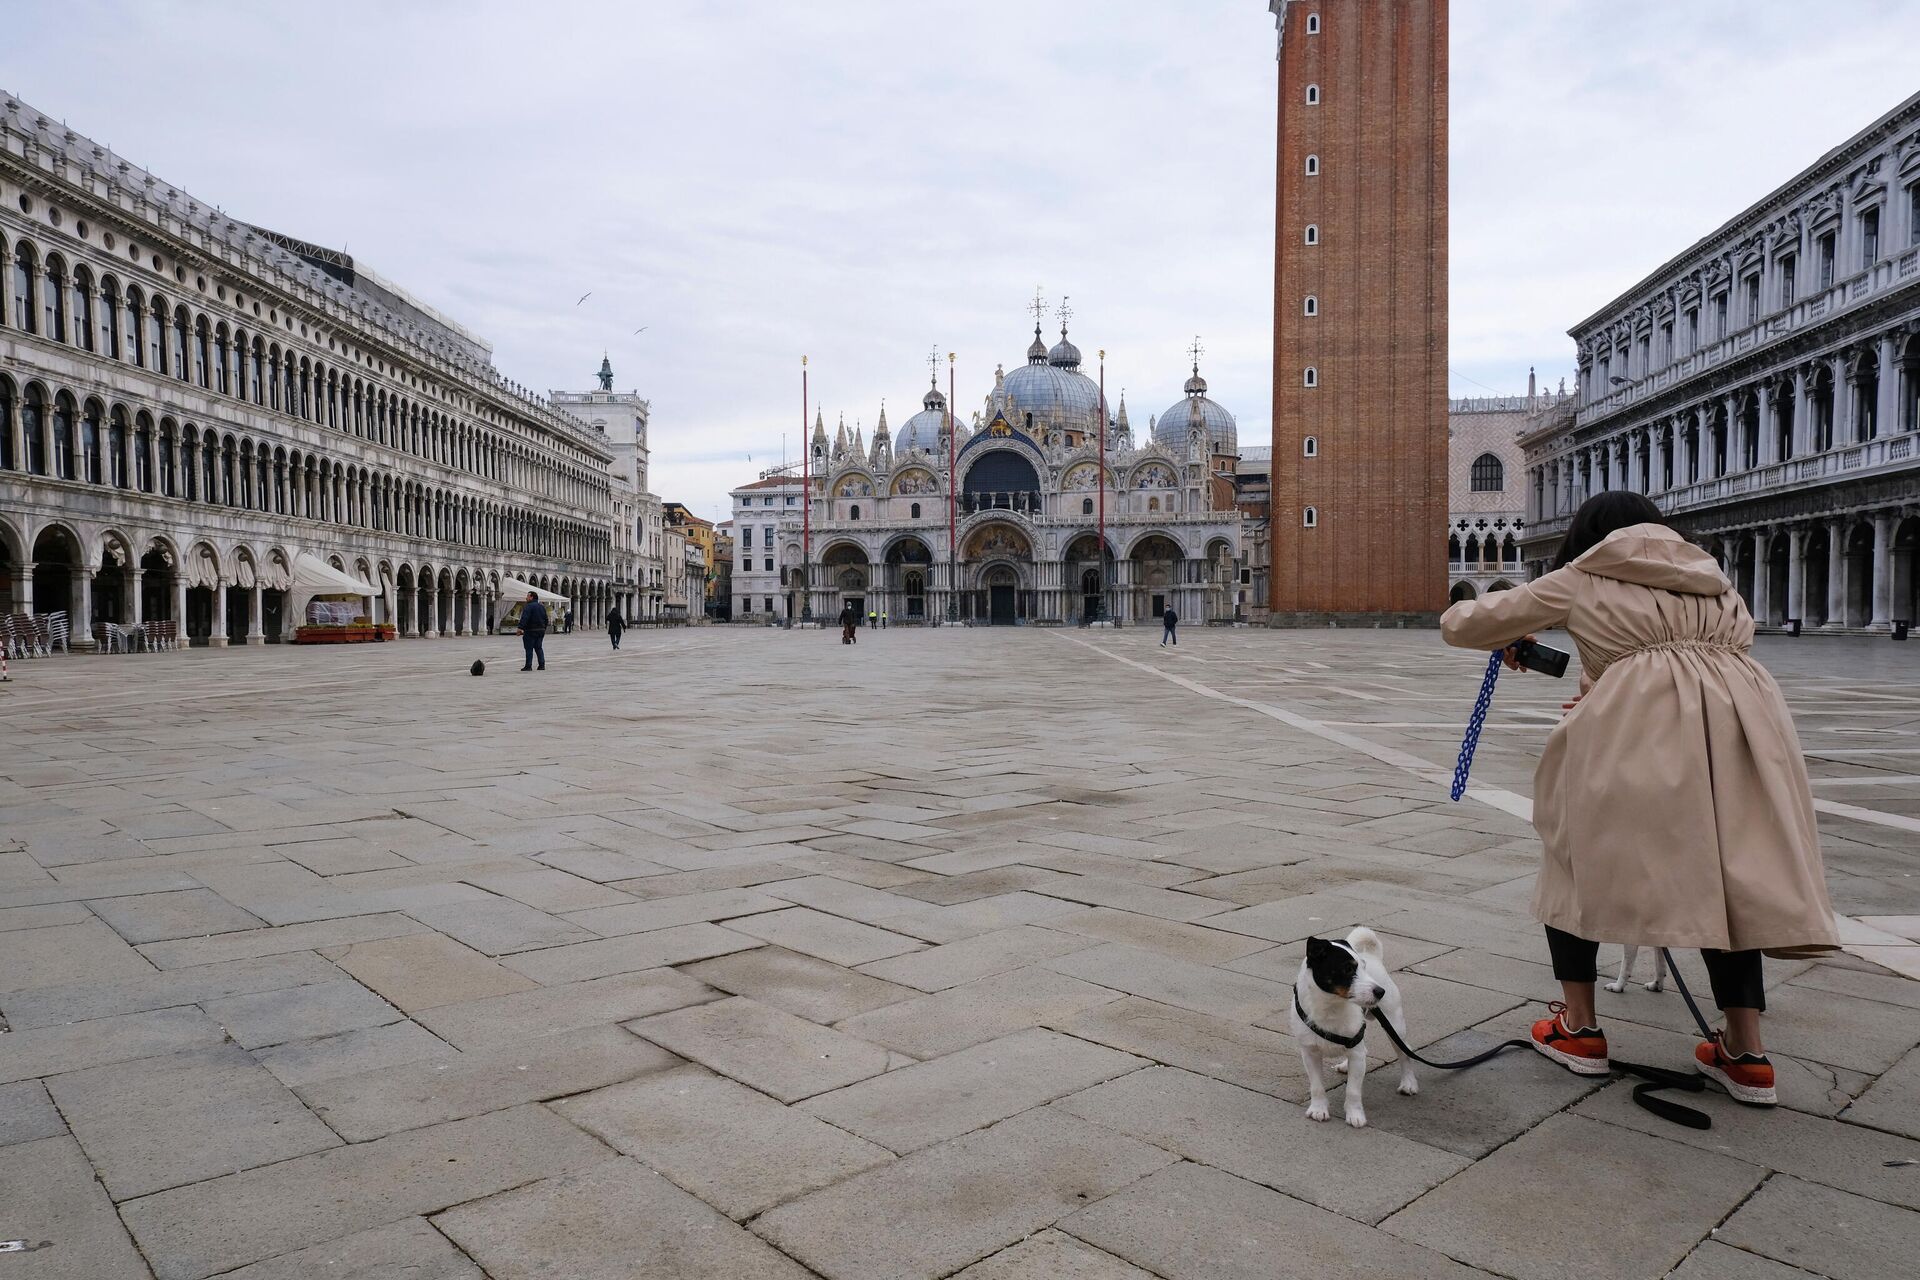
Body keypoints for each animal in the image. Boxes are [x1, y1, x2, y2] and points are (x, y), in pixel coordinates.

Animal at [1297, 924, 1420, 1128]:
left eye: (1364, 967)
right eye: (1347, 969)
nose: (1380, 992)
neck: (1332, 1006)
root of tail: (1373, 957)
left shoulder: (1356, 1052)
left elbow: (1353, 1090)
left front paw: (1355, 1115)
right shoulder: (1310, 1053)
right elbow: (1316, 1086)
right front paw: (1318, 1109)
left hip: (1394, 1024)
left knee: (1404, 1053)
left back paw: (1409, 1083)